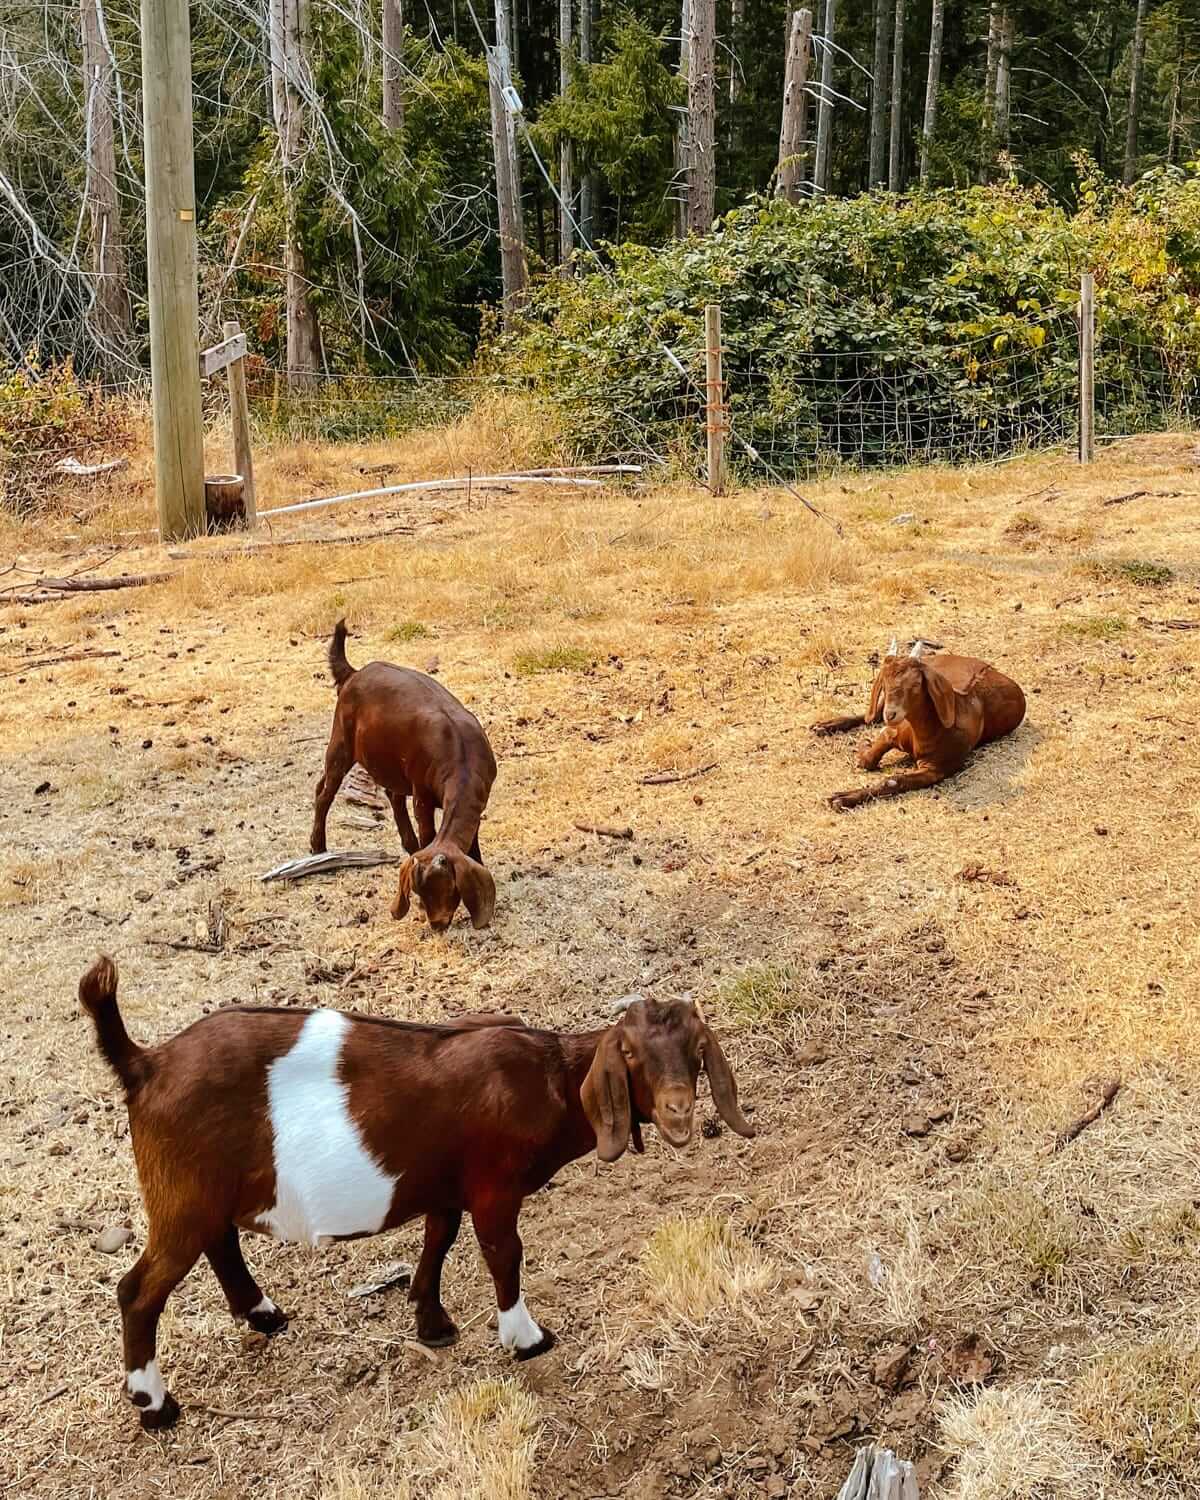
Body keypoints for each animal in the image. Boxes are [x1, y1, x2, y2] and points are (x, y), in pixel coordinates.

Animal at [79, 956, 755, 1431]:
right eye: (632, 1054)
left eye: (696, 1051)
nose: (678, 1113)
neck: (549, 1077)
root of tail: (146, 1064)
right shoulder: (494, 1187)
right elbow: (502, 1254)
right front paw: (526, 1339)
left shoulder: (447, 1184)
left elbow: (440, 1239)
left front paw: (431, 1321)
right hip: (181, 1192)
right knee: (139, 1290)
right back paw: (155, 1406)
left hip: (204, 1190)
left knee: (218, 1242)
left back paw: (264, 1315)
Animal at [311, 620, 498, 930]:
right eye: (419, 893)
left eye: (451, 888)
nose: (438, 924)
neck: (461, 759)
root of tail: (354, 673)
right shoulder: (422, 791)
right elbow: (427, 830)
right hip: (341, 740)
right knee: (325, 791)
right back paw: (318, 846)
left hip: (388, 760)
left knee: (390, 795)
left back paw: (407, 843)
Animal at [812, 639, 1025, 810]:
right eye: (884, 682)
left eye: (915, 685)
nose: (892, 714)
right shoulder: (893, 731)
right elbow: (869, 758)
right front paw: (863, 748)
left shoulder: (936, 769)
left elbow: (892, 780)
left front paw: (843, 798)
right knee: (870, 717)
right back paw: (826, 725)